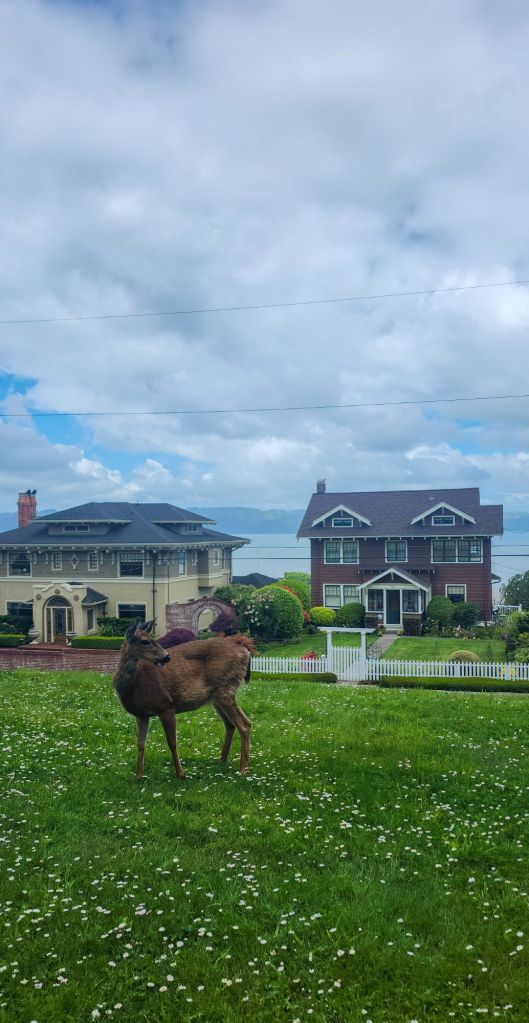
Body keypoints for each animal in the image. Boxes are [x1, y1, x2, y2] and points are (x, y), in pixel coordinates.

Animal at [112, 620, 252, 780]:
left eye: (154, 638)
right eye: (145, 641)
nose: (166, 657)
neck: (134, 685)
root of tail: (245, 651)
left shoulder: (165, 705)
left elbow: (172, 742)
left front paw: (180, 774)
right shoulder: (141, 714)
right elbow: (140, 744)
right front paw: (139, 777)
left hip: (226, 688)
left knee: (244, 724)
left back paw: (243, 769)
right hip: (216, 697)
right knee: (230, 724)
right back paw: (222, 761)